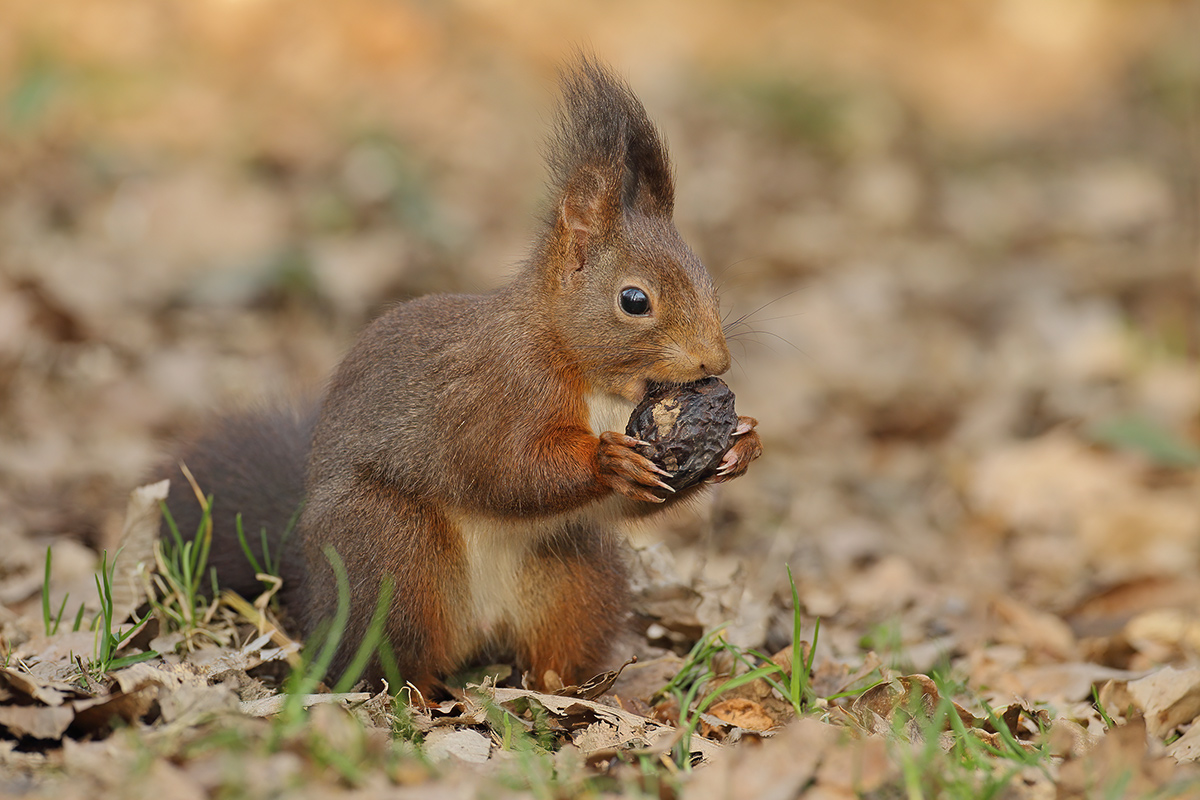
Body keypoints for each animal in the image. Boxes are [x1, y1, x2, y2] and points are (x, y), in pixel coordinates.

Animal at [159, 57, 763, 695]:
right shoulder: (490, 392)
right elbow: (503, 468)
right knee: (384, 657)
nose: (715, 363)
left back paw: (560, 686)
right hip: (391, 553)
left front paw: (741, 442)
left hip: (576, 573)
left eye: (708, 280)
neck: (588, 376)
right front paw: (608, 460)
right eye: (634, 300)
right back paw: (421, 697)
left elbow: (626, 506)